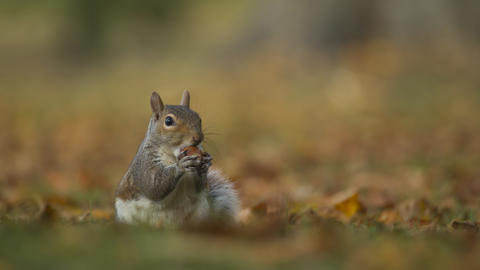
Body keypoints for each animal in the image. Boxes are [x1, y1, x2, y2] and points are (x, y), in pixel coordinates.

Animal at [113, 89, 240, 227]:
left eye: (199, 119)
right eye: (168, 121)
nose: (198, 137)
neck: (173, 156)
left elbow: (199, 186)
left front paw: (206, 164)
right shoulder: (145, 162)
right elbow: (153, 185)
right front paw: (181, 165)